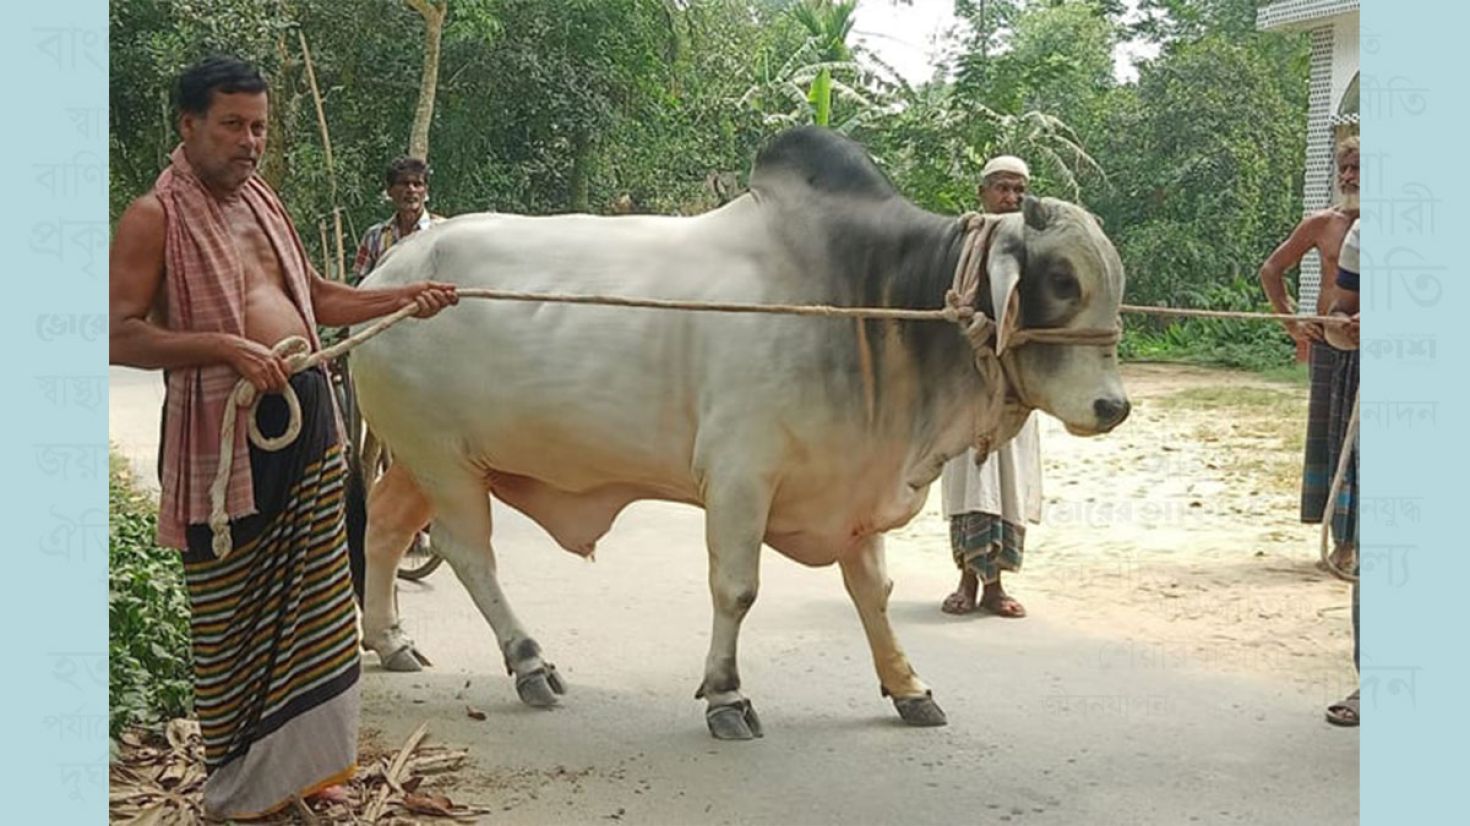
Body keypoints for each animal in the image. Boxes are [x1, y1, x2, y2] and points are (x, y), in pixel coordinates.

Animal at [349, 128, 1128, 740]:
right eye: (1062, 279)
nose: (1113, 405)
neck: (867, 301)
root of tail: (386, 276)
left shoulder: (854, 484)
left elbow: (873, 592)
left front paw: (908, 688)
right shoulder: (740, 477)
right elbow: (737, 589)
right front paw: (725, 695)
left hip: (428, 459)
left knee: (385, 527)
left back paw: (390, 641)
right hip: (442, 459)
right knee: (469, 555)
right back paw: (529, 664)